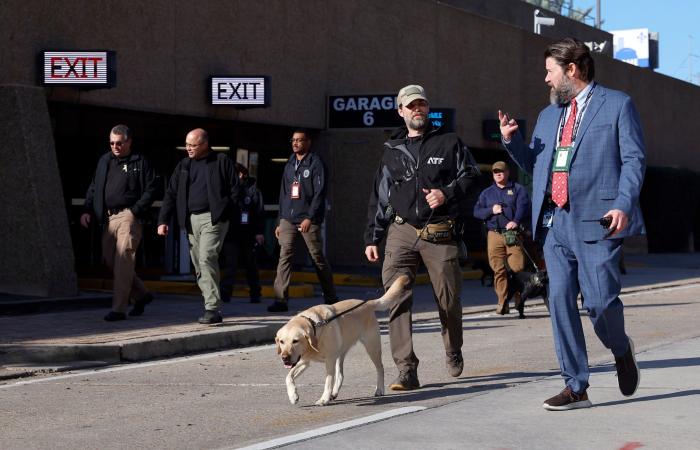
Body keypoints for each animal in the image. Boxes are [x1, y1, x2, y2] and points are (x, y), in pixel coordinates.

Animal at [272, 276, 408, 406]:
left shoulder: (329, 361)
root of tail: (367, 303)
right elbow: (288, 377)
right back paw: (334, 393)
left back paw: (379, 389)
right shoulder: (304, 361)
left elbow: (328, 381)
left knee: (380, 368)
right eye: (282, 342)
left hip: (372, 347)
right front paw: (293, 396)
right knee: (341, 374)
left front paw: (323, 399)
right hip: (340, 353)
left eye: (295, 341)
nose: (284, 357)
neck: (315, 327)